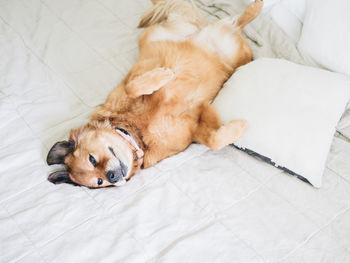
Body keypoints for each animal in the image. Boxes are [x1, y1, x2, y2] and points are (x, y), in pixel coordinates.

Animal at [47, 0, 264, 190]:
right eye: (100, 182)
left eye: (92, 159)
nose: (113, 176)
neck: (137, 133)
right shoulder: (196, 127)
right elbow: (214, 141)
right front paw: (240, 126)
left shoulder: (129, 83)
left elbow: (132, 87)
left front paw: (163, 75)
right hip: (235, 54)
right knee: (235, 24)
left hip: (161, 34)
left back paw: (255, 7)